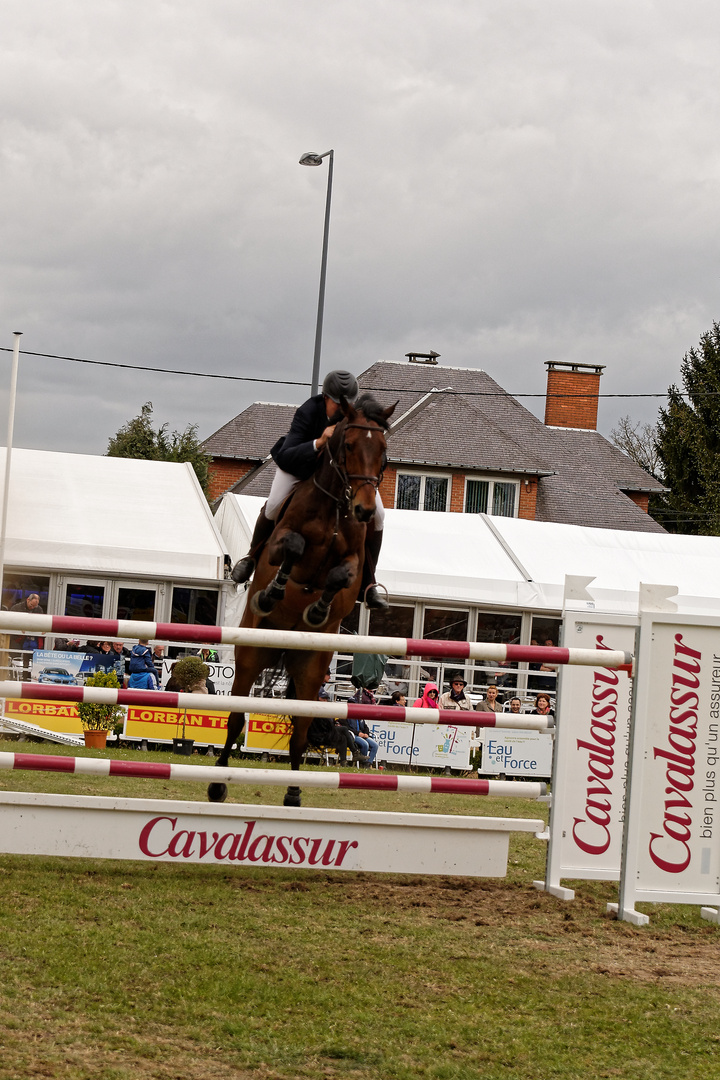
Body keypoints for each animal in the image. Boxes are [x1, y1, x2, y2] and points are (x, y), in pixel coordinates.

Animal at [208, 393, 397, 807]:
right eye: (348, 446)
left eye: (383, 451)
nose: (364, 509)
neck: (336, 505)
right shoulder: (282, 542)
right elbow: (292, 548)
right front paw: (273, 593)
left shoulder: (354, 561)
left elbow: (342, 576)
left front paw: (318, 609)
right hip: (251, 655)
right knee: (236, 719)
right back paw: (218, 783)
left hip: (310, 668)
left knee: (300, 730)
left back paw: (293, 793)